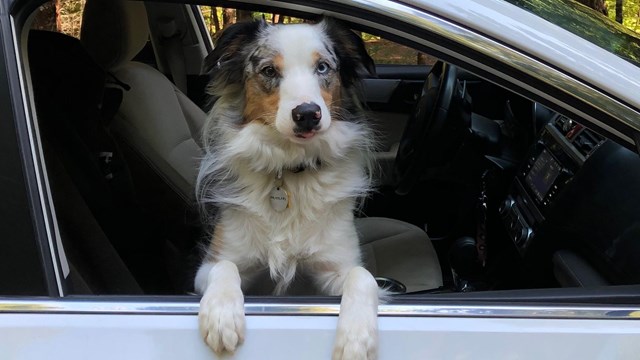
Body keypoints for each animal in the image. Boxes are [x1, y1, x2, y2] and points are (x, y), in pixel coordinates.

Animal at [195, 16, 382, 360]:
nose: (307, 114)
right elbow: (224, 266)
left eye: (322, 67)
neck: (290, 170)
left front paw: (356, 339)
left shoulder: (335, 267)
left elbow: (363, 277)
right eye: (269, 71)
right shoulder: (211, 264)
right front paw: (221, 316)